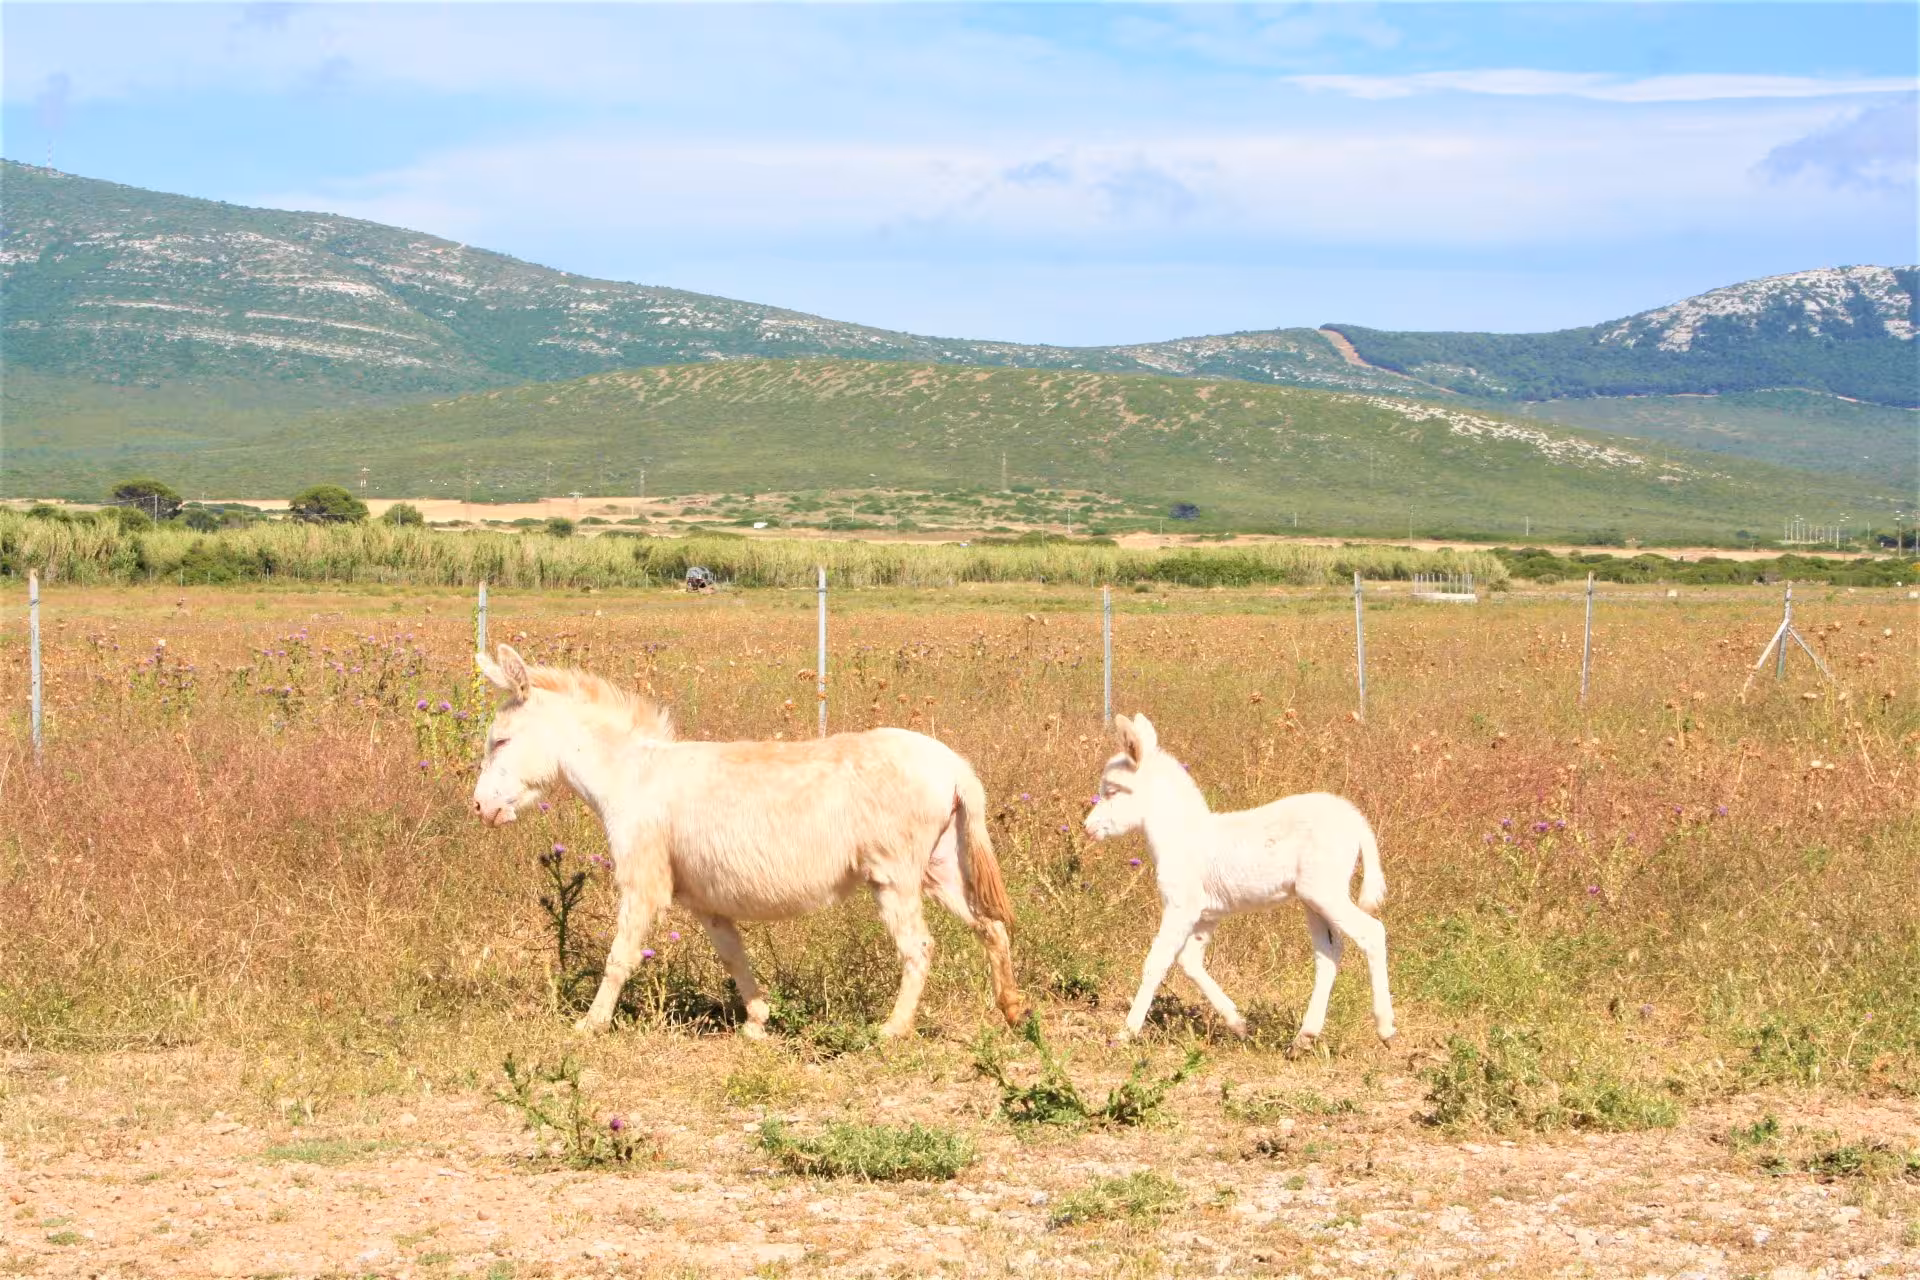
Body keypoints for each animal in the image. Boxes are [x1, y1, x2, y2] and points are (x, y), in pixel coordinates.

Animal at [471, 644, 1028, 1039]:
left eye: (500, 741)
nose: (478, 809)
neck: (632, 776)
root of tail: (952, 763)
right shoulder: (704, 901)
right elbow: (735, 958)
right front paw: (759, 1021)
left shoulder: (644, 883)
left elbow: (619, 957)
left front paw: (590, 1025)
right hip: (939, 868)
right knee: (991, 927)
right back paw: (1013, 1011)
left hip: (894, 876)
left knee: (919, 946)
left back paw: (893, 1030)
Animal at [1082, 713, 1395, 1052]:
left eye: (1113, 791)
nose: (1087, 828)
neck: (1181, 836)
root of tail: (1357, 821)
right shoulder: (1207, 914)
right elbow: (1190, 961)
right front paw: (1238, 1024)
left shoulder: (1181, 906)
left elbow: (1157, 962)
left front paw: (1125, 1034)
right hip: (1312, 899)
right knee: (1329, 954)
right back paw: (1303, 1038)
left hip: (1325, 892)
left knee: (1372, 932)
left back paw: (1385, 1028)